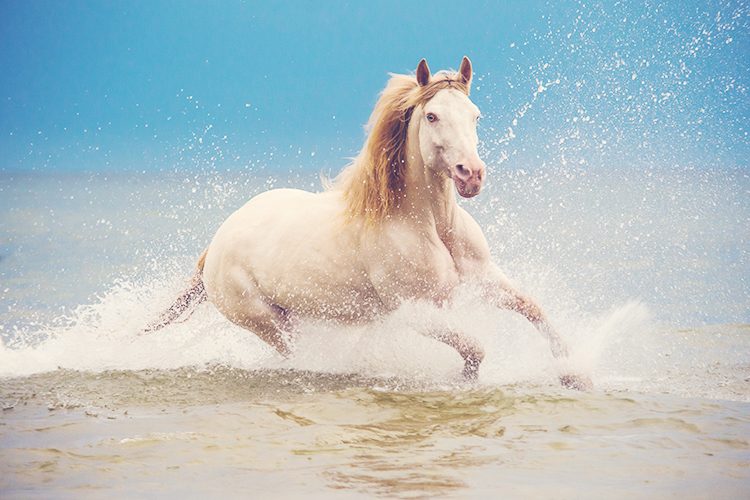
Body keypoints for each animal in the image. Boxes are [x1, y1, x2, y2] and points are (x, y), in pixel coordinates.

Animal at [148, 56, 592, 388]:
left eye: (475, 115)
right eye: (432, 116)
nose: (471, 175)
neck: (427, 224)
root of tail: (216, 244)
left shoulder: (485, 279)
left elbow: (534, 309)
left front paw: (574, 376)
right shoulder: (415, 311)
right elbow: (475, 349)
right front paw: (464, 383)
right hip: (265, 321)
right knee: (296, 352)